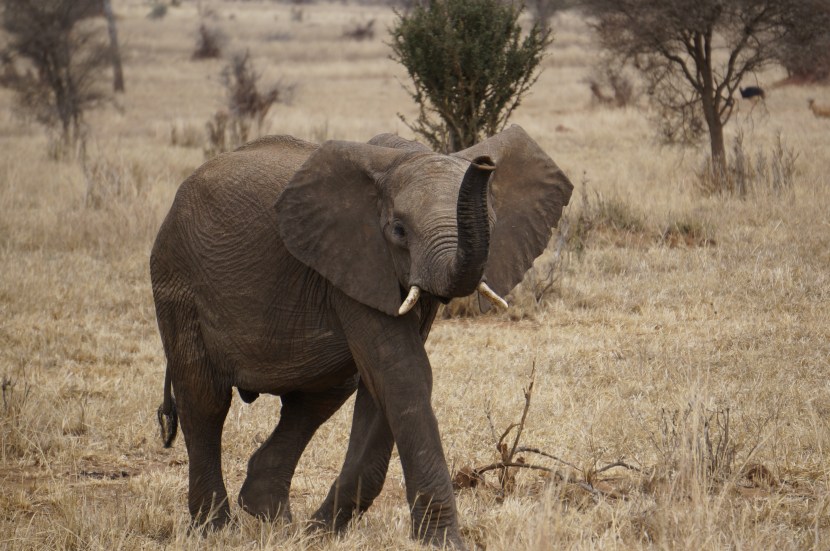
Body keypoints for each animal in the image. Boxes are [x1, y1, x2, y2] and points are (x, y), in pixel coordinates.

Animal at [151, 125, 572, 549]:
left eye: (493, 220)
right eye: (399, 231)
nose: (484, 164)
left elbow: (387, 382)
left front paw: (320, 532)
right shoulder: (352, 260)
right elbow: (400, 372)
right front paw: (442, 541)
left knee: (319, 397)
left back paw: (274, 519)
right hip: (176, 280)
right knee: (204, 399)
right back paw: (216, 529)